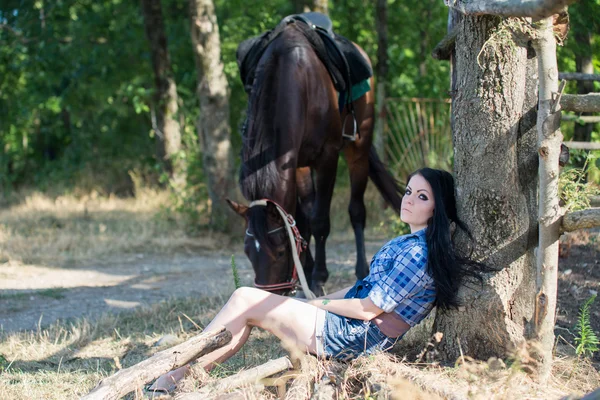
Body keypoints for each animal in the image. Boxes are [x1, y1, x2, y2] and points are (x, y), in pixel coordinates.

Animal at [226, 15, 404, 296]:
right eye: (247, 252)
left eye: (279, 251)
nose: (268, 295)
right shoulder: (297, 162)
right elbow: (301, 220)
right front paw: (307, 273)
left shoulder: (326, 158)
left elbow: (320, 220)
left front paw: (319, 277)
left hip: (358, 148)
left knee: (357, 210)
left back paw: (361, 270)